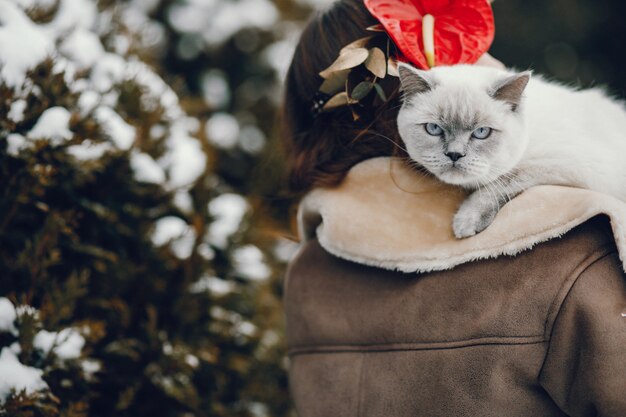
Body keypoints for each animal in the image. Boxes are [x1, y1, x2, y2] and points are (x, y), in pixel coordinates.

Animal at [394, 61, 624, 237]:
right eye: (433, 129)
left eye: (481, 132)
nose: (454, 154)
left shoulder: (564, 165)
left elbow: (500, 182)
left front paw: (466, 222)